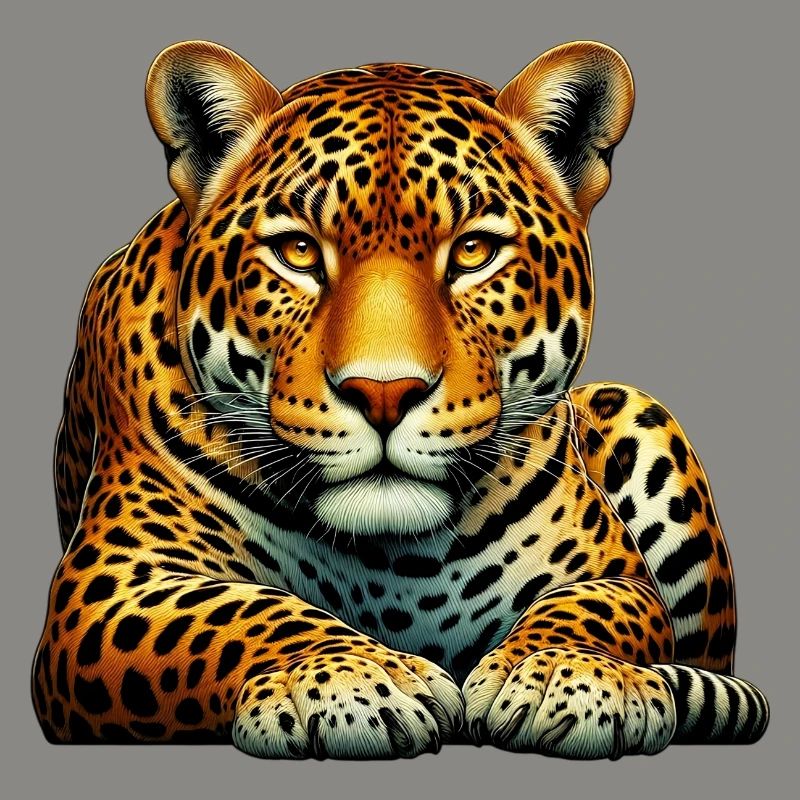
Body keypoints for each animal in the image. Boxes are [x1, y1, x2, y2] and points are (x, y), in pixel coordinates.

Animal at [32, 39, 769, 760]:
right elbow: (233, 615)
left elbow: (596, 610)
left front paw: (566, 673)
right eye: (298, 251)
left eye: (473, 251)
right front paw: (352, 678)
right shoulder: (108, 586)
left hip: (639, 409)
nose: (383, 394)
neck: (394, 559)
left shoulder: (615, 574)